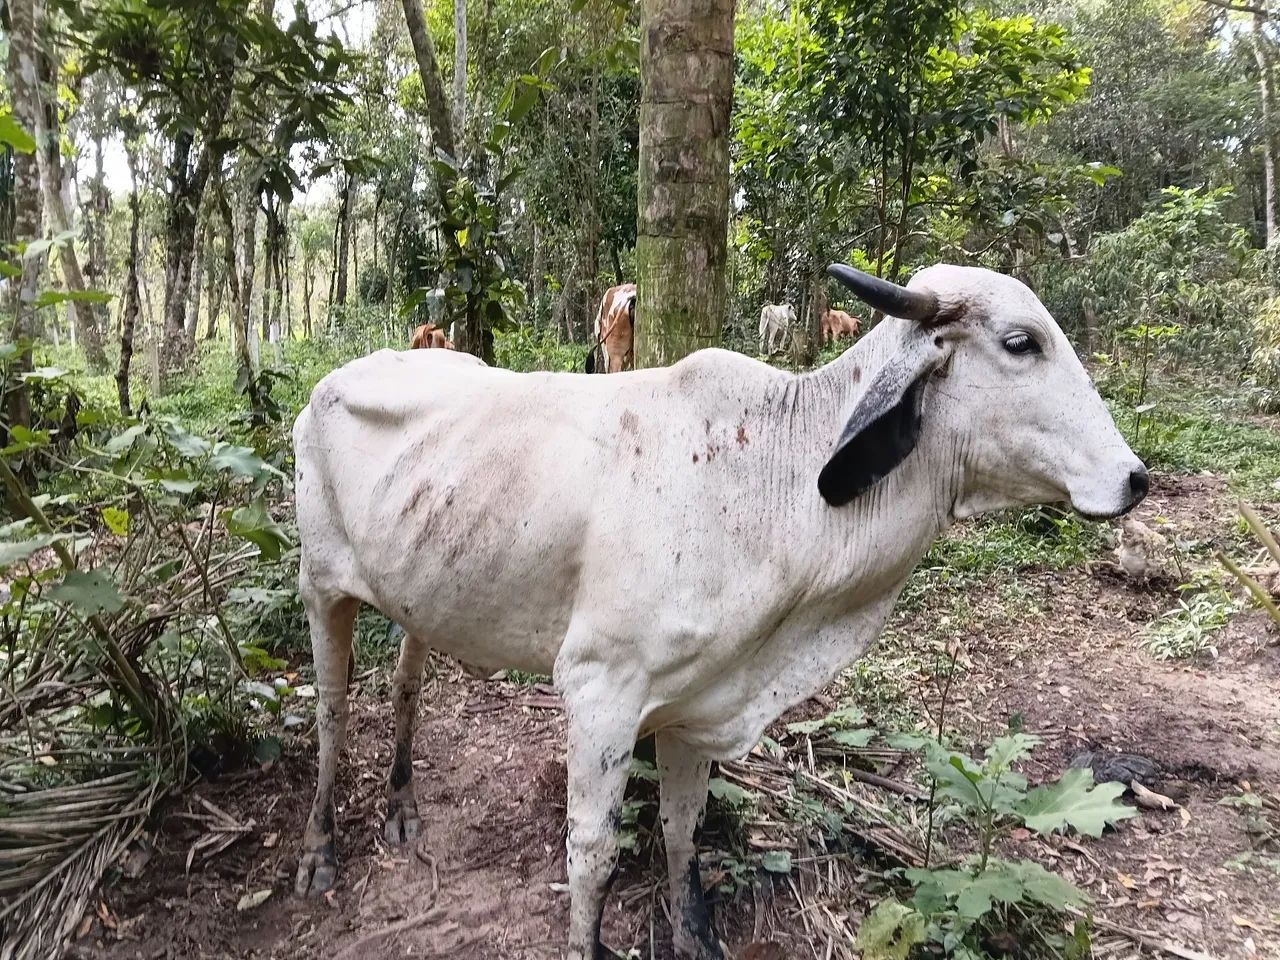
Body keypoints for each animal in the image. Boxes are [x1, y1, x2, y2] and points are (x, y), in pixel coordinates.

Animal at [292, 262, 1148, 960]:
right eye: (1020, 343)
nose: (1135, 478)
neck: (776, 473)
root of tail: (337, 378)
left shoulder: (698, 702)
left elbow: (682, 828)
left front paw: (694, 934)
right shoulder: (600, 689)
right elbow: (591, 854)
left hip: (418, 590)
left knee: (406, 685)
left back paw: (401, 806)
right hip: (320, 583)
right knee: (332, 712)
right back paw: (319, 848)